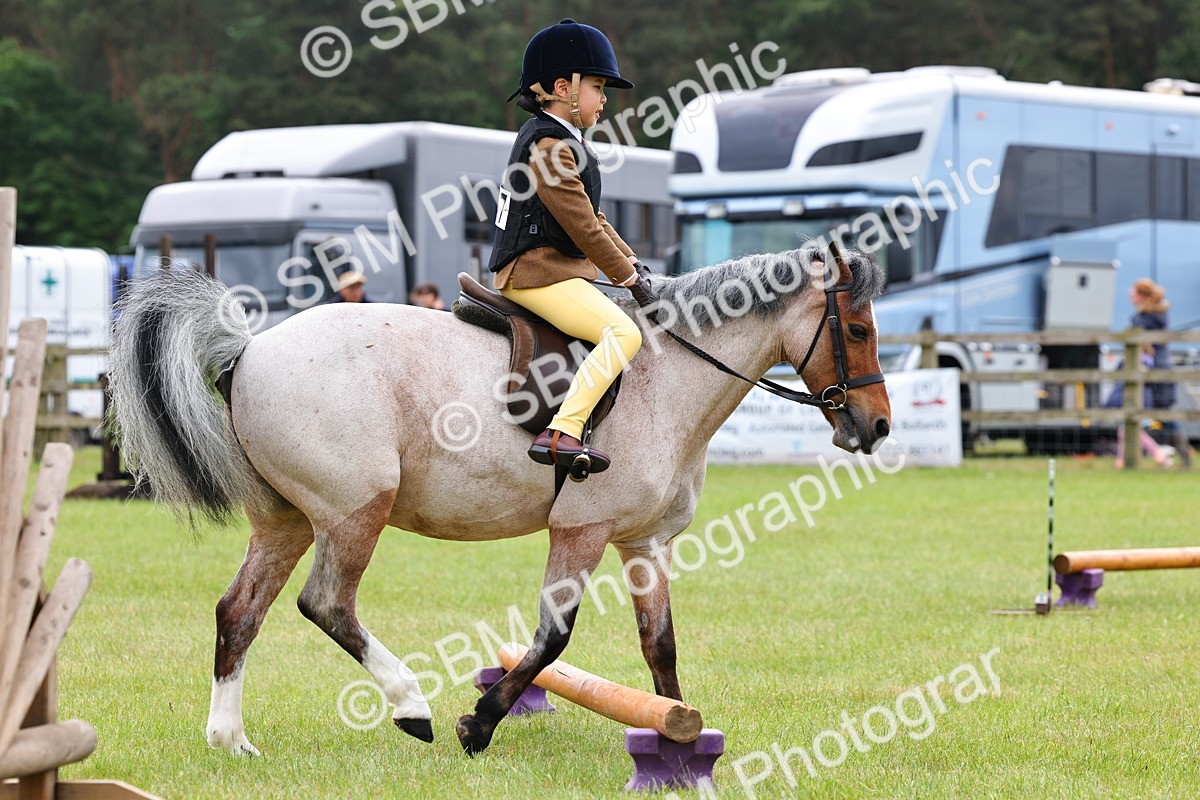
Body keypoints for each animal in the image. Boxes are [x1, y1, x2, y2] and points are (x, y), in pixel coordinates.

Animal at [107, 243, 891, 757]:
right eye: (856, 329)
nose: (877, 425)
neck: (668, 377)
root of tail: (249, 348)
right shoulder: (582, 529)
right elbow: (552, 639)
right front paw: (478, 723)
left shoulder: (643, 542)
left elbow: (660, 644)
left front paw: (676, 732)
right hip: (355, 512)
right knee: (326, 604)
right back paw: (412, 707)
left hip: (286, 520)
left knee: (239, 612)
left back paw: (229, 738)